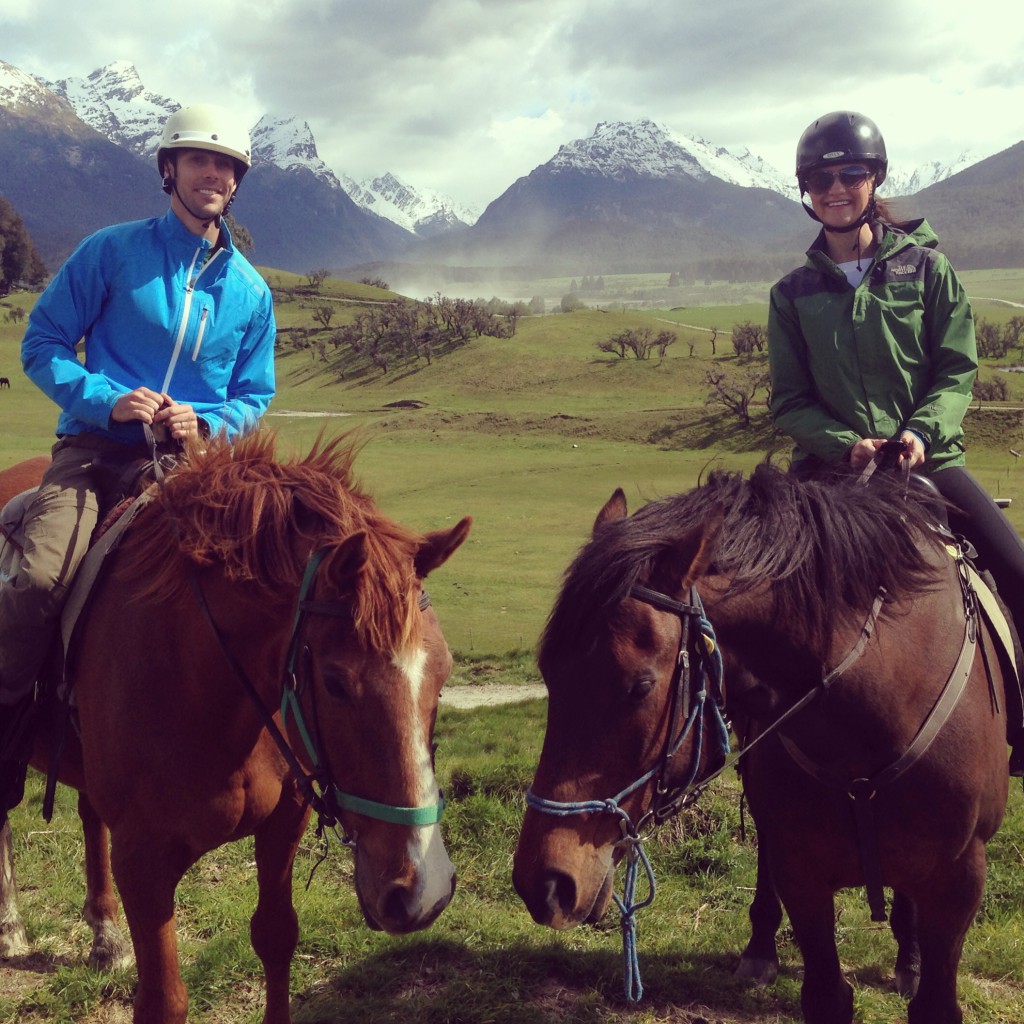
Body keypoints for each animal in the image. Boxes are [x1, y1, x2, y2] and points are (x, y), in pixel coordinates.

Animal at [0, 432, 471, 1024]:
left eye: (444, 672)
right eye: (336, 682)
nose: (423, 893)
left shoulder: (285, 821)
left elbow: (276, 938)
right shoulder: (143, 862)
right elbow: (164, 999)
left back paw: (105, 936)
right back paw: (11, 927)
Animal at [516, 464, 1011, 1024]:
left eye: (639, 686)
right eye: (549, 673)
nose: (544, 883)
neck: (877, 708)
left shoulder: (960, 879)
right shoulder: (802, 870)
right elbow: (825, 994)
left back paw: (909, 958)